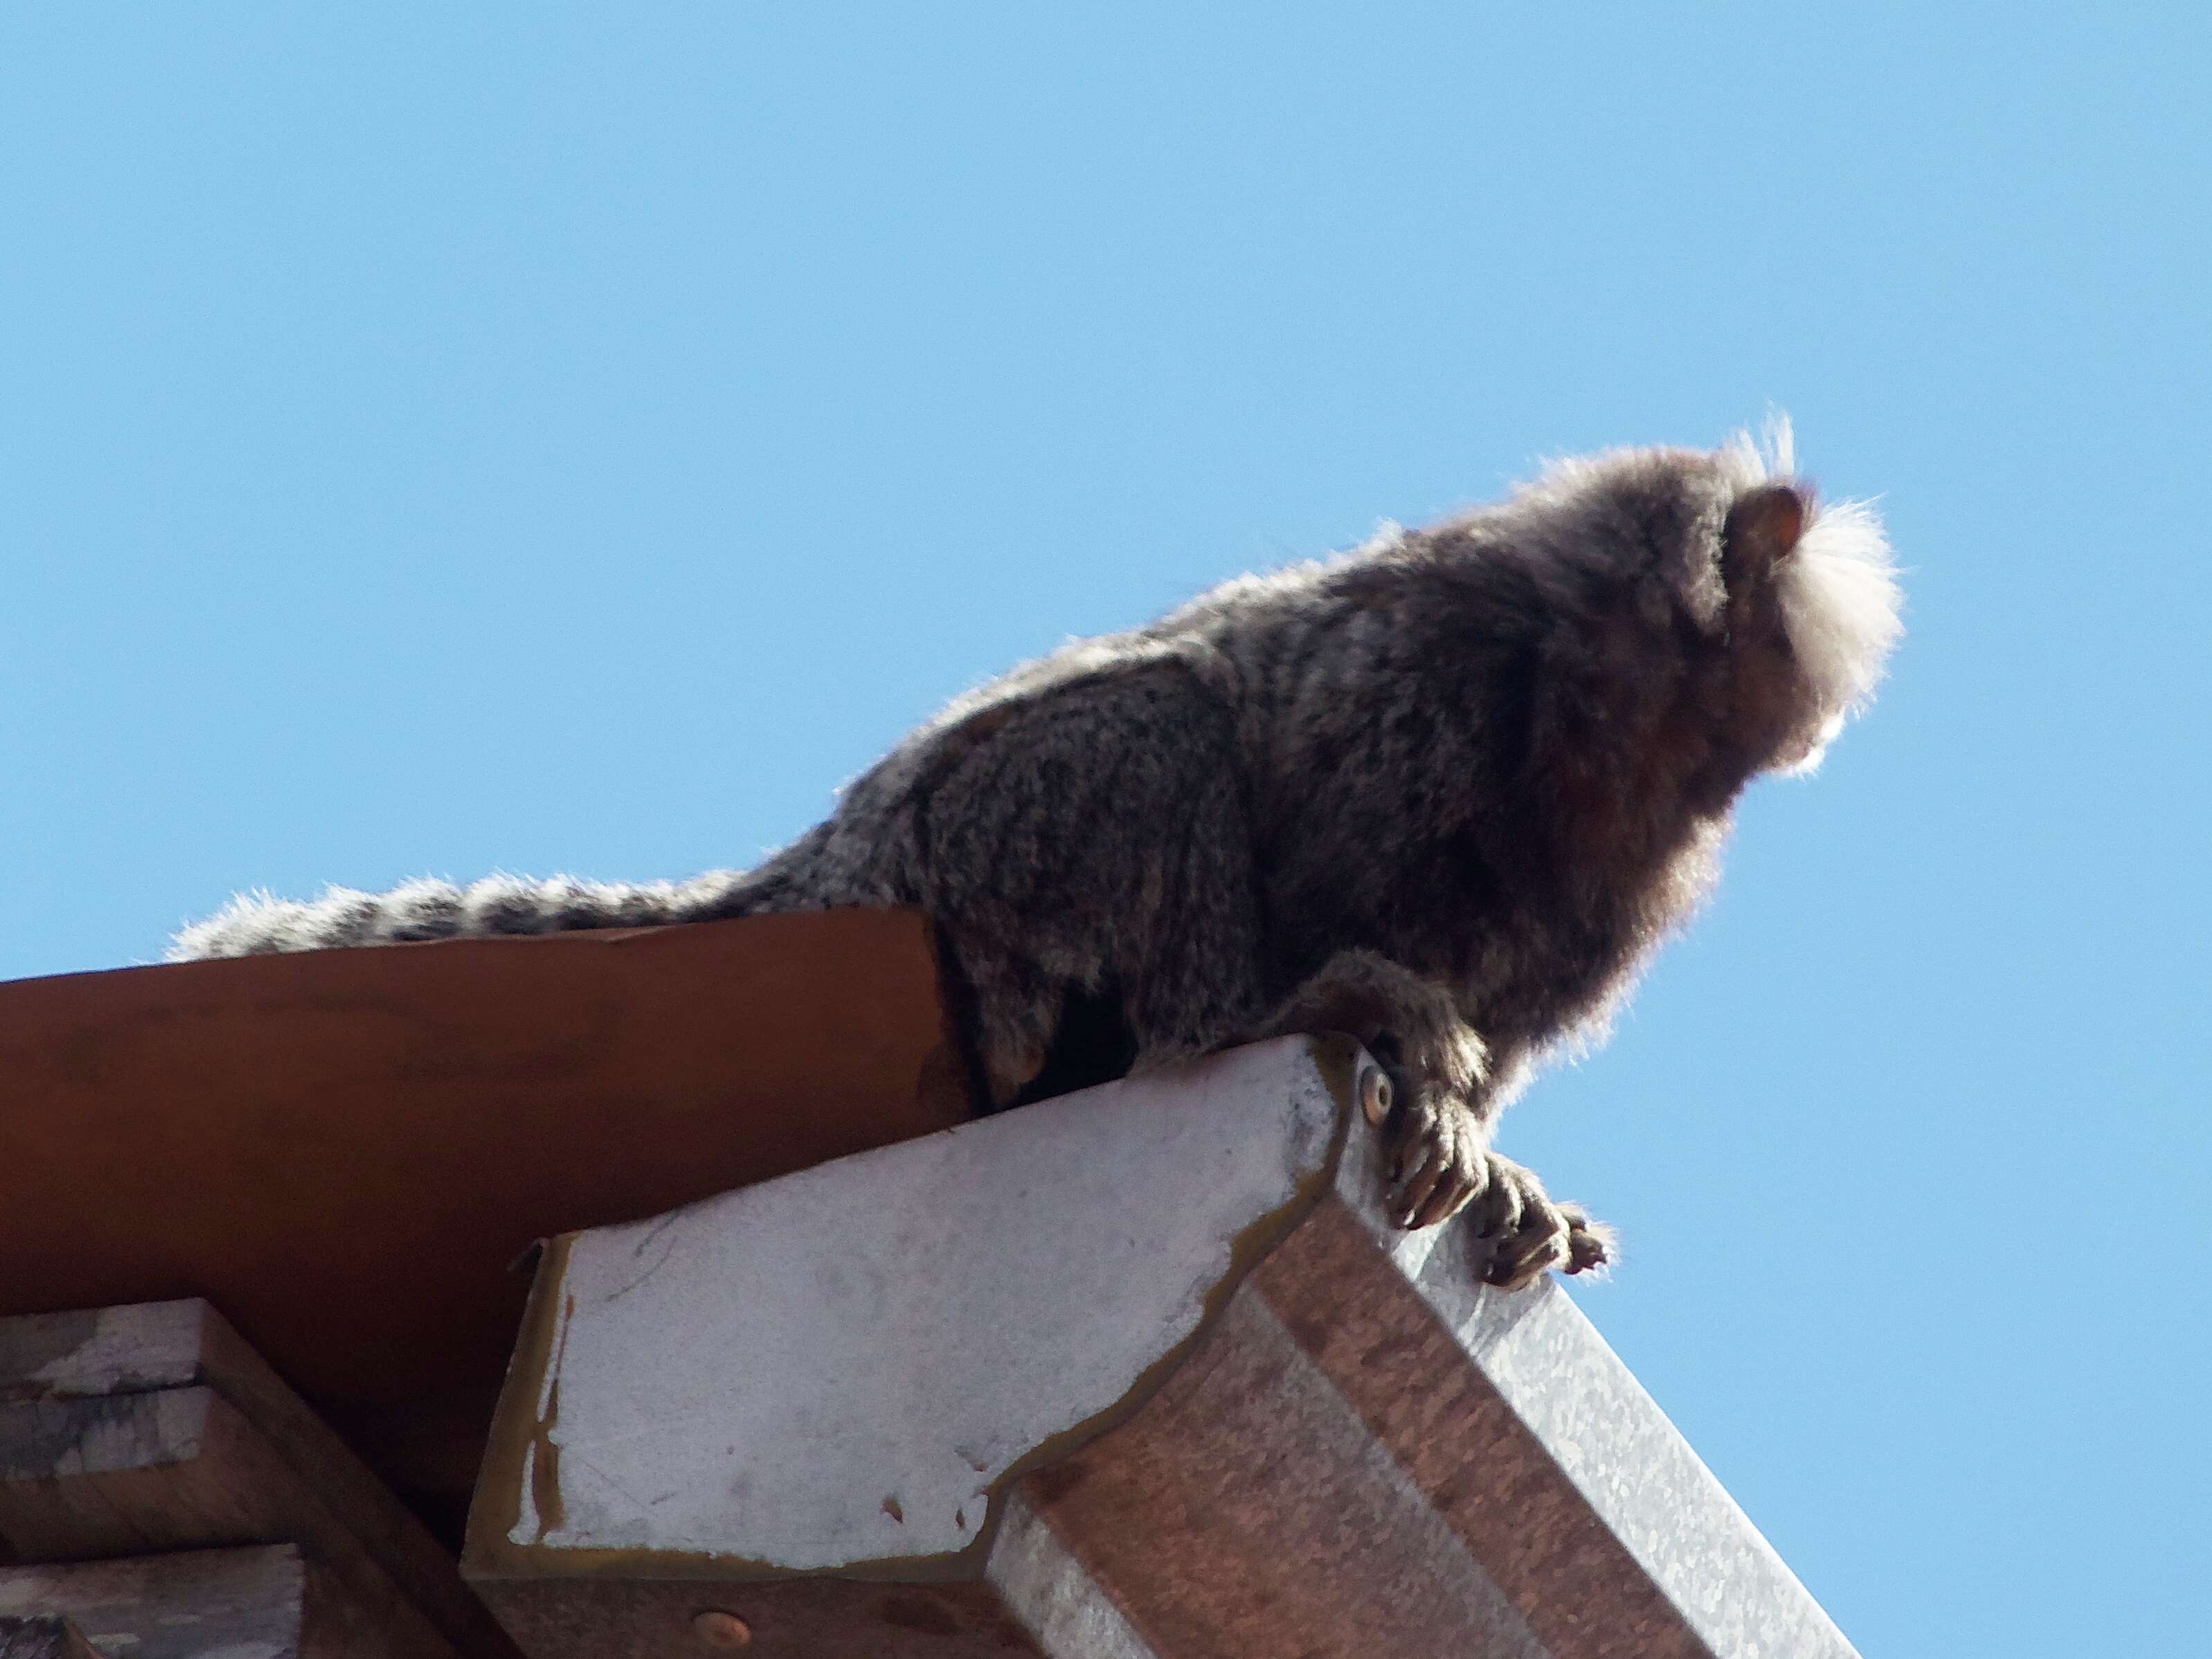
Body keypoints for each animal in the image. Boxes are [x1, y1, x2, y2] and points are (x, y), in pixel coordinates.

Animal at [172, 422, 1902, 1291]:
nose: (1794, 748)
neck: (1607, 729)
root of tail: (835, 852)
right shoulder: (1428, 696)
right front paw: (1375, 1030)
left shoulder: (1618, 884)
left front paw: (1498, 1155)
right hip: (980, 839)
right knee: (1159, 726)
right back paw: (1268, 1010)